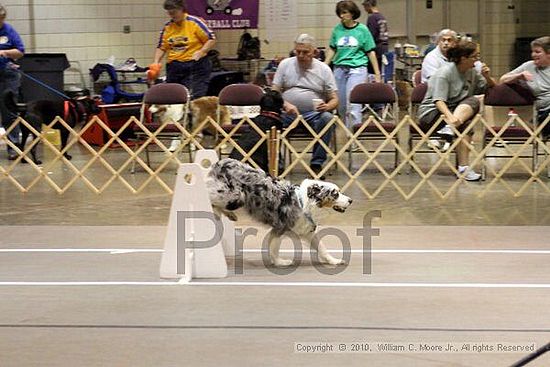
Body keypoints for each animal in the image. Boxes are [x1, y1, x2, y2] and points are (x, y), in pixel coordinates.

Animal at [206, 158, 354, 268]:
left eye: (339, 192)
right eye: (335, 194)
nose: (350, 200)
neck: (304, 204)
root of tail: (221, 163)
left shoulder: (307, 231)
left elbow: (322, 247)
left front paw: (333, 260)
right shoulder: (280, 228)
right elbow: (274, 248)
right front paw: (280, 262)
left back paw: (231, 215)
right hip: (235, 196)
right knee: (210, 196)